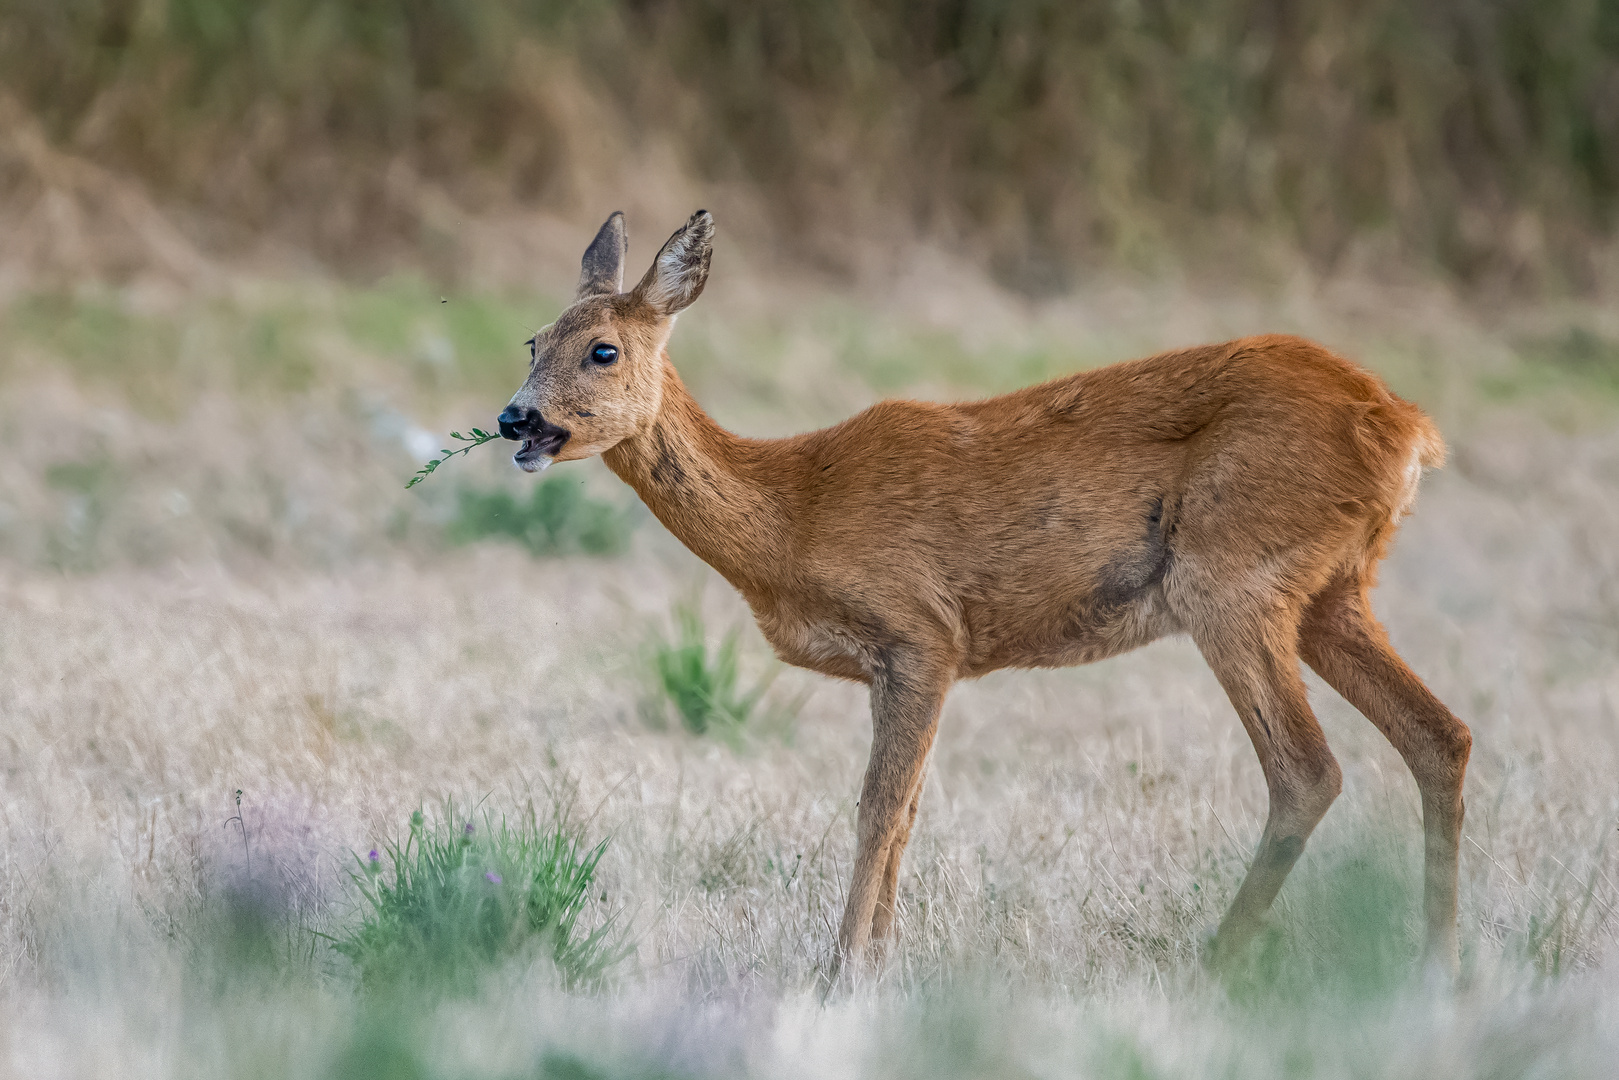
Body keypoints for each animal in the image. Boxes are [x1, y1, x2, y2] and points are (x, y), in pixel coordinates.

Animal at [498, 210, 1476, 977]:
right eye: (533, 341)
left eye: (603, 350)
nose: (515, 419)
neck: (793, 515)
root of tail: (1407, 428)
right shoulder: (922, 659)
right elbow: (907, 814)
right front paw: (876, 964)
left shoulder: (919, 633)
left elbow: (877, 811)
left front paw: (839, 973)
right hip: (1330, 592)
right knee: (1439, 734)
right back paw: (1435, 964)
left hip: (1230, 576)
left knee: (1307, 768)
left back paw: (1218, 961)